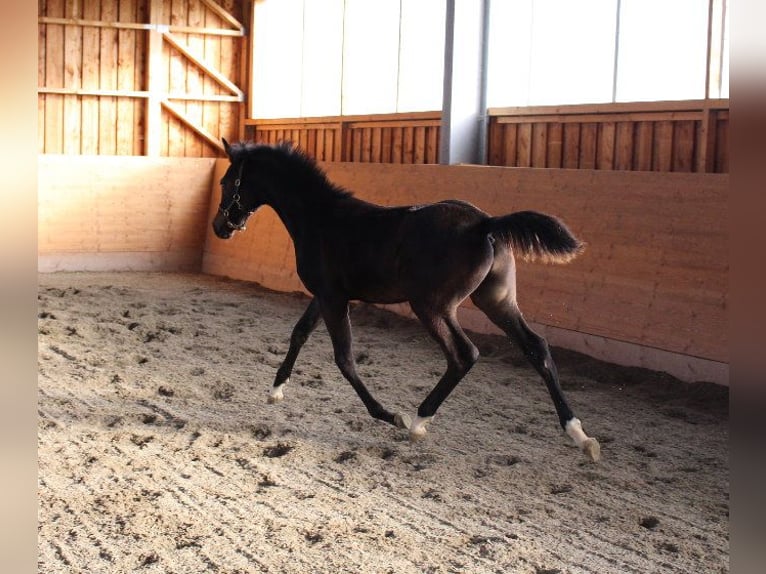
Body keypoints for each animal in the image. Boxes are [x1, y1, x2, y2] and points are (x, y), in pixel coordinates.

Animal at [212, 139, 600, 462]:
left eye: (228, 183)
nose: (218, 227)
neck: (321, 220)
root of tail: (485, 224)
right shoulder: (326, 295)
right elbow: (300, 333)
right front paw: (275, 390)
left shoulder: (333, 298)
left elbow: (344, 359)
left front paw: (388, 415)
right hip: (496, 301)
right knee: (536, 348)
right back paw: (579, 435)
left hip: (432, 306)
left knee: (464, 354)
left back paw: (418, 420)